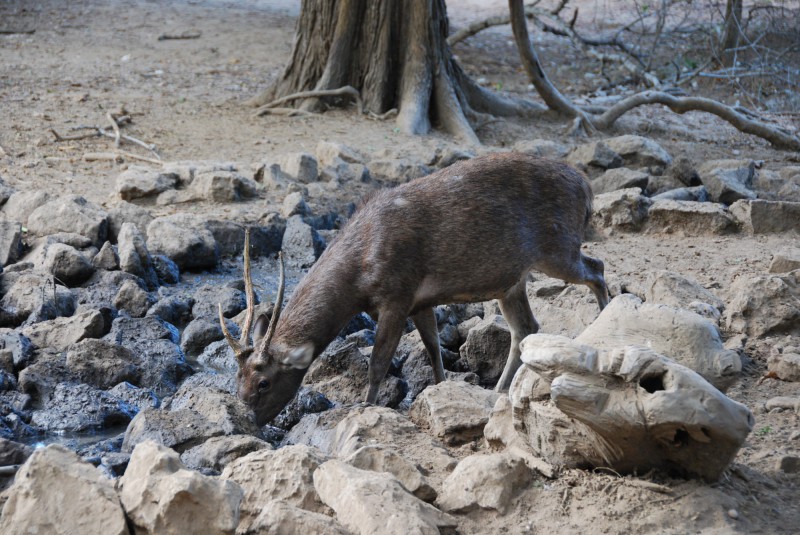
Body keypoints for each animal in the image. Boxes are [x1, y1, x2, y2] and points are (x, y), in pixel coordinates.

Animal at [219, 153, 608, 426]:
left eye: (264, 382)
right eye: (236, 377)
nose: (246, 421)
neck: (359, 276)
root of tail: (587, 187)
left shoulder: (397, 293)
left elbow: (378, 363)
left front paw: (365, 406)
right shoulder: (420, 301)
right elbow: (433, 349)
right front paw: (439, 388)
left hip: (559, 249)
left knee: (597, 269)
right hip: (510, 281)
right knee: (526, 327)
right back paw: (497, 389)